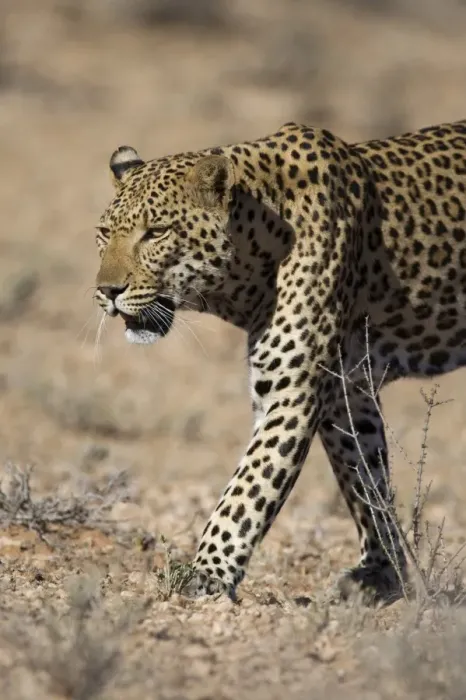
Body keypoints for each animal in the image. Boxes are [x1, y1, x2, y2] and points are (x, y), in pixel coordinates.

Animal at [94, 118, 466, 603]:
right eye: (104, 233)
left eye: (156, 233)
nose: (106, 291)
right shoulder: (348, 391)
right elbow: (367, 482)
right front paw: (383, 574)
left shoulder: (293, 393)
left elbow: (248, 489)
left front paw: (205, 573)